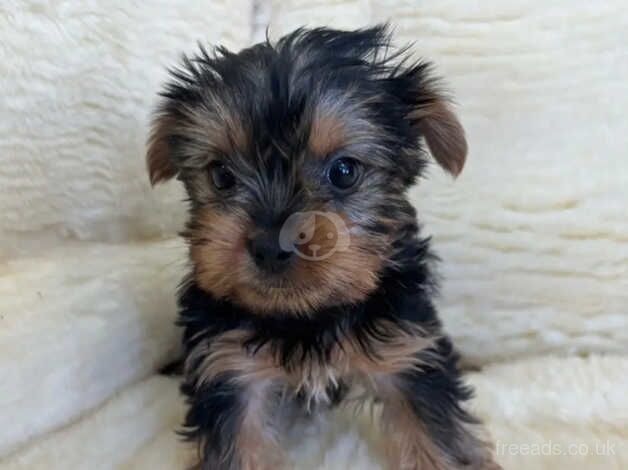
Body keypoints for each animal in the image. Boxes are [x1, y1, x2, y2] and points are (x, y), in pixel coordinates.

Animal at [147, 24, 500, 470]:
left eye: (344, 171)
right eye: (222, 175)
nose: (271, 245)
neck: (306, 318)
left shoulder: (407, 348)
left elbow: (433, 429)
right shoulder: (228, 367)